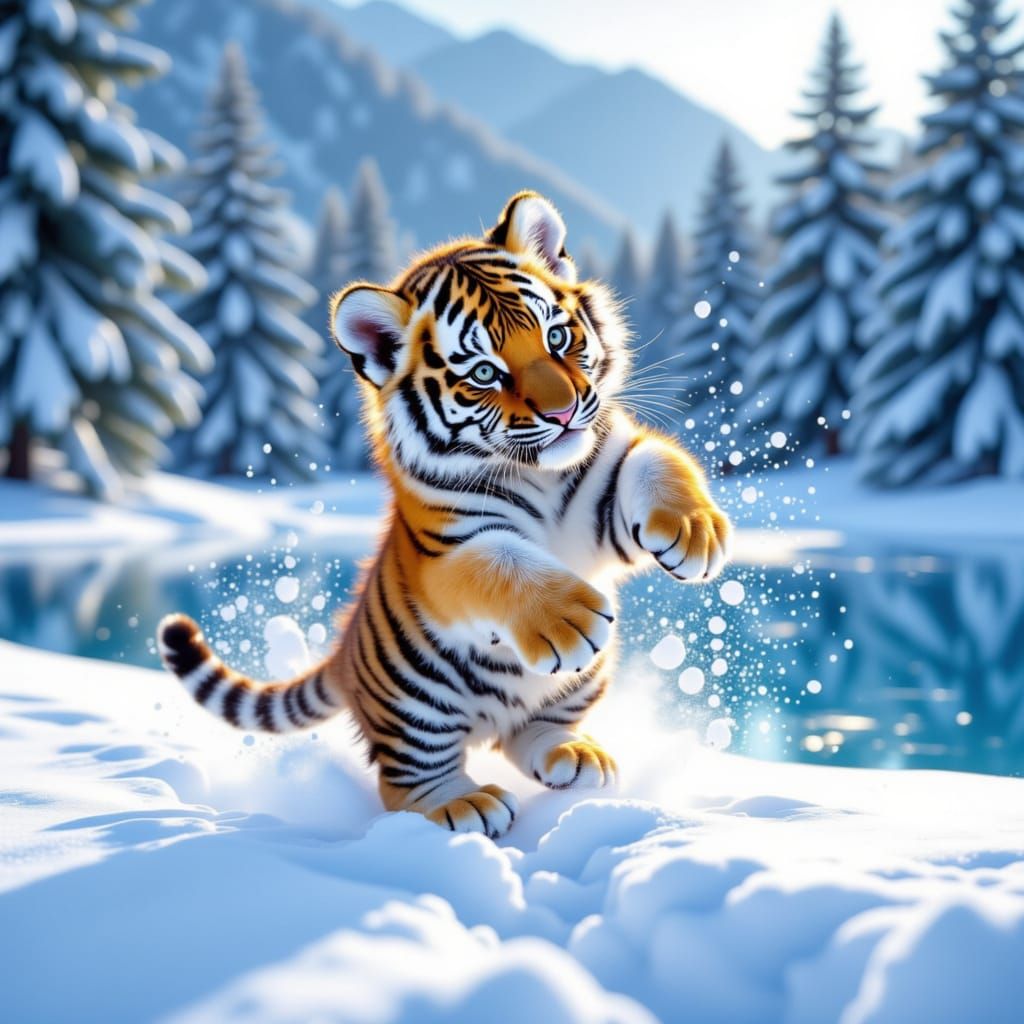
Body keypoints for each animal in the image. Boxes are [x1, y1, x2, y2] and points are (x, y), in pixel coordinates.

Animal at [158, 191, 731, 838]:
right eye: (483, 373)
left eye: (558, 337)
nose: (563, 413)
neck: (543, 474)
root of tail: (343, 659)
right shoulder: (449, 552)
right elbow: (502, 561)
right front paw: (572, 616)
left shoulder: (607, 481)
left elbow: (657, 459)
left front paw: (695, 532)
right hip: (415, 710)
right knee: (404, 781)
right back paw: (462, 805)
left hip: (583, 683)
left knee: (526, 733)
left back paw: (573, 754)